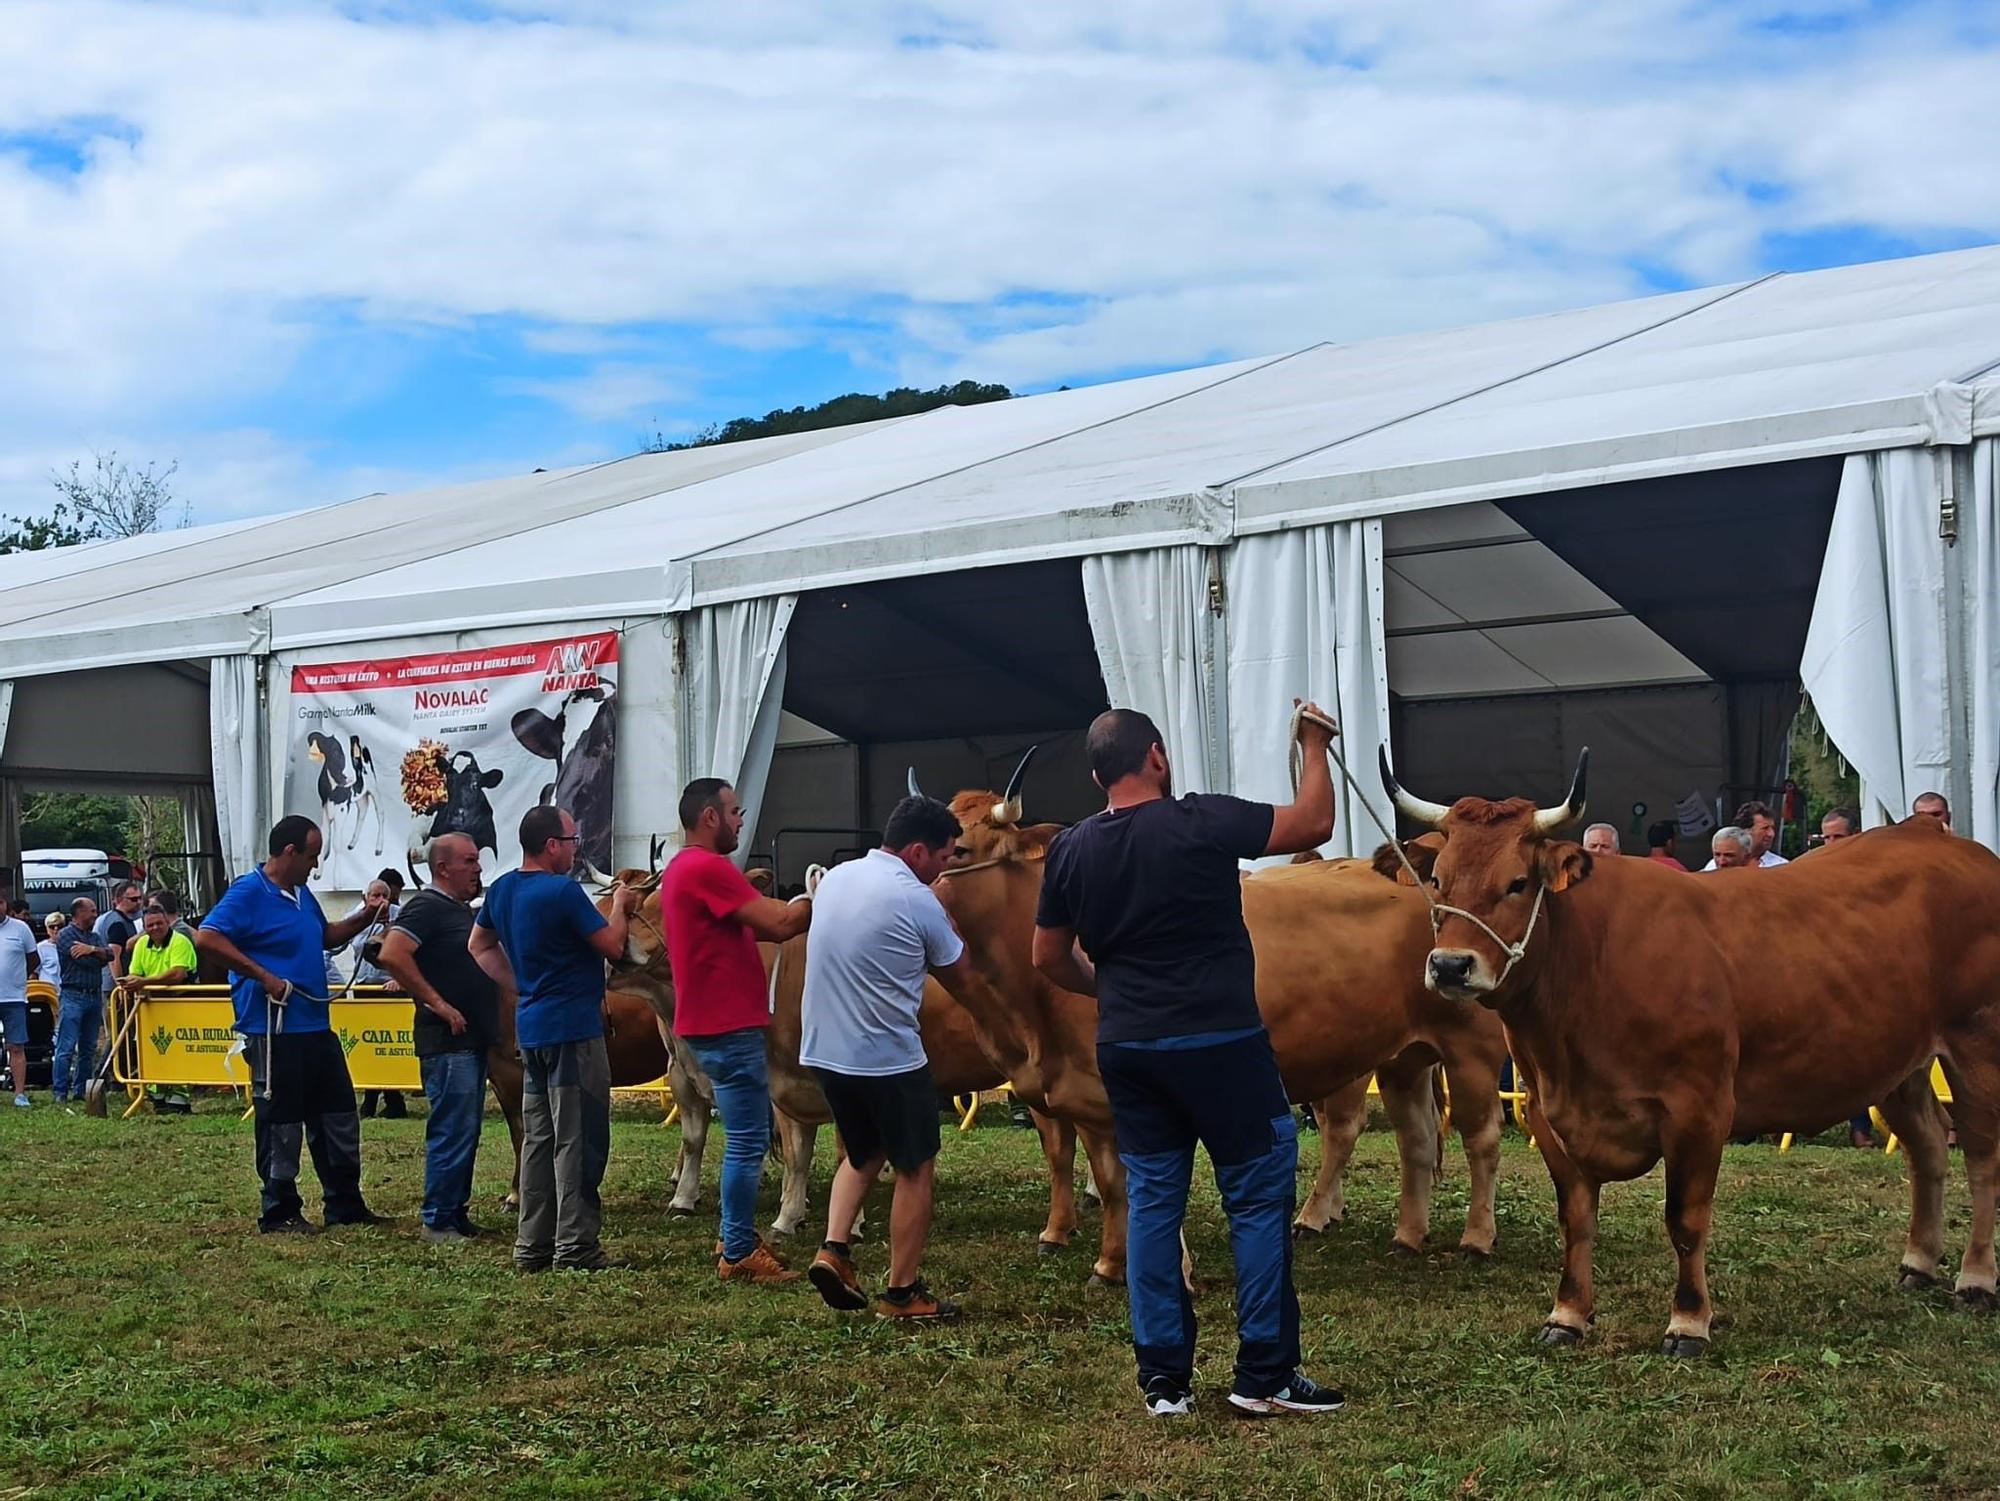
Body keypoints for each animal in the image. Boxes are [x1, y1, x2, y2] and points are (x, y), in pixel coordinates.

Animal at [1384, 752, 2000, 1360]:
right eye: (1437, 880)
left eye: (1516, 883)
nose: (1450, 966)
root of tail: (1937, 838)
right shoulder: (1544, 1109)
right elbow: (1576, 1218)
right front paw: (1568, 1315)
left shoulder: (1698, 1110)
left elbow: (1684, 1219)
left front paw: (1688, 1322)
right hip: (1899, 1063)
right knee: (1928, 1144)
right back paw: (1919, 1262)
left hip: (1977, 1046)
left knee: (1981, 1155)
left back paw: (1975, 1278)